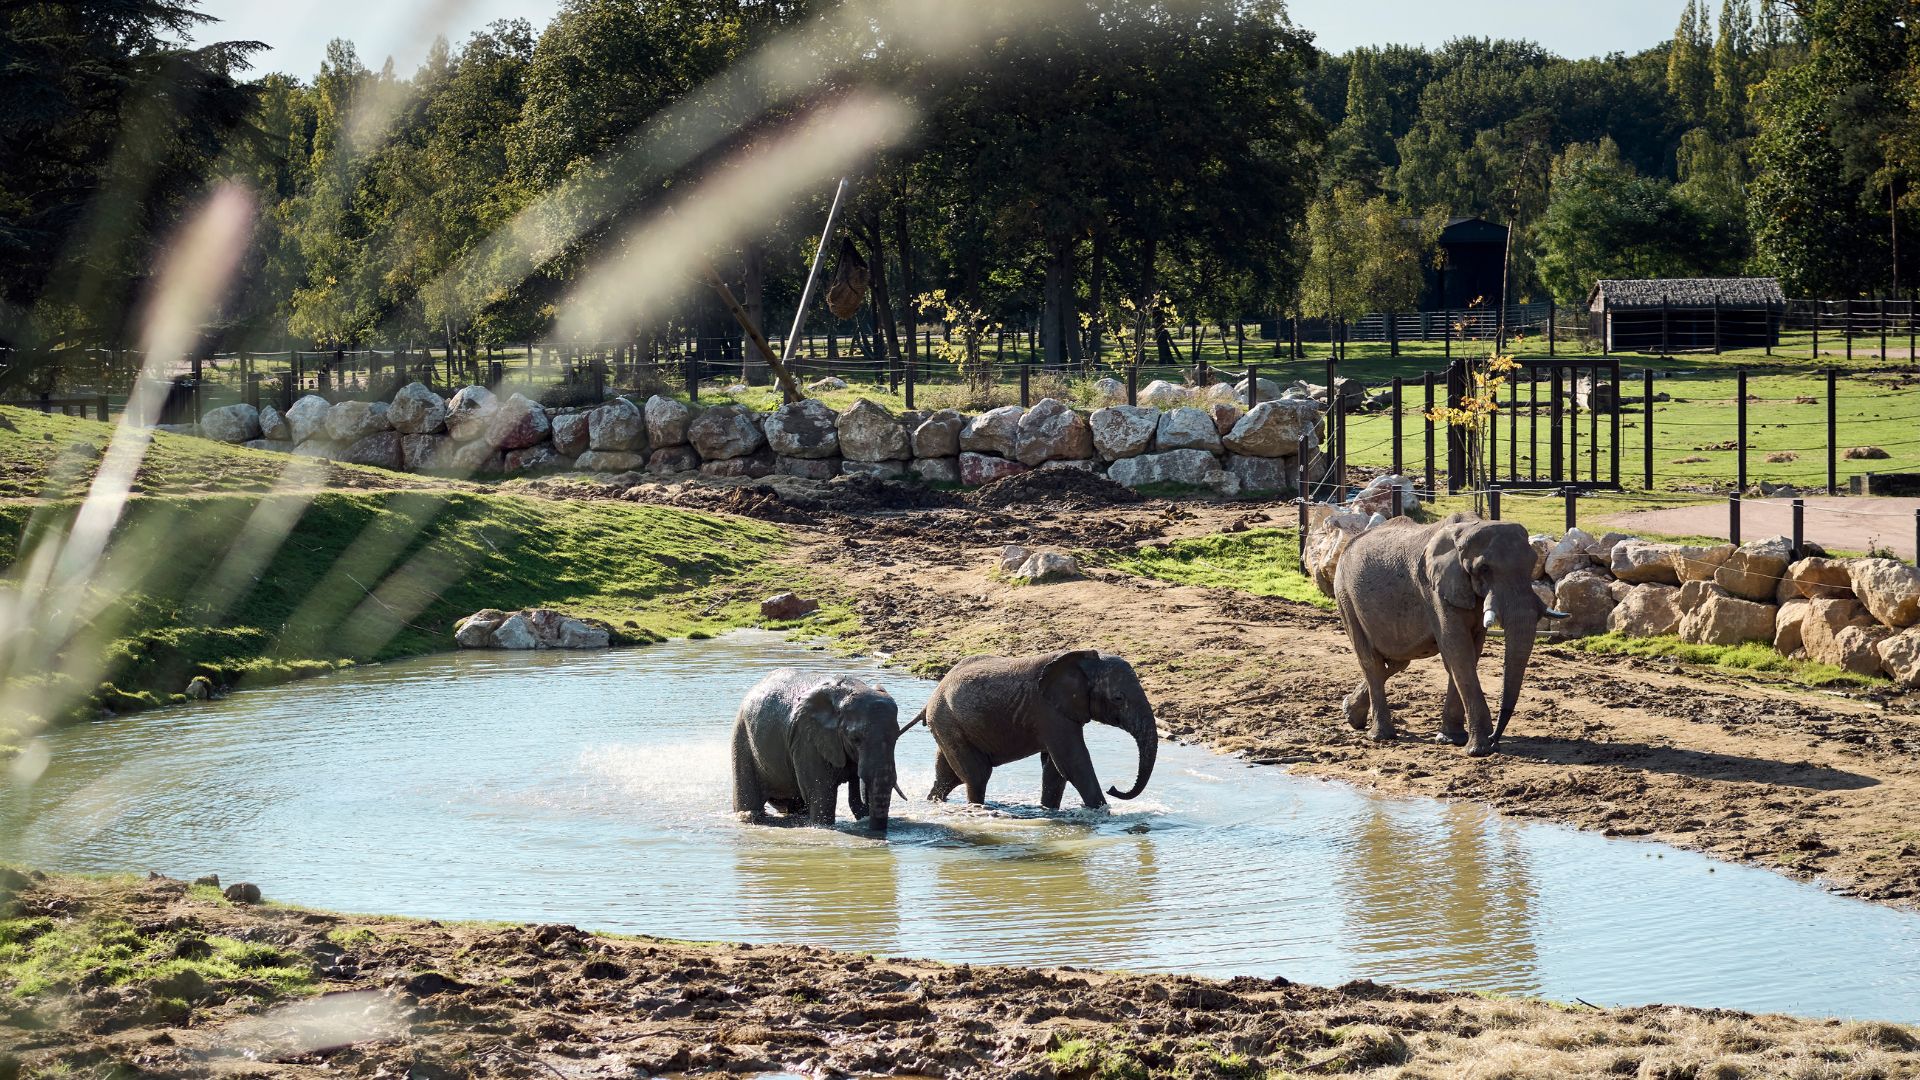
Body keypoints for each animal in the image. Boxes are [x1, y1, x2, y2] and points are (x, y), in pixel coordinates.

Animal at [732, 670, 899, 832]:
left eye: (897, 737)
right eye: (855, 738)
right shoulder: (807, 739)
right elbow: (822, 795)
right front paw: (822, 826)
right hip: (743, 737)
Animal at [906, 649, 1158, 811]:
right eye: (1118, 698)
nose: (1113, 788)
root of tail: (930, 700)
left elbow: (1055, 768)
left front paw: (1049, 811)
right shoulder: (1048, 711)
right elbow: (1073, 763)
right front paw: (1102, 813)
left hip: (949, 725)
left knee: (948, 777)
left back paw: (934, 803)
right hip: (948, 721)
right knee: (977, 775)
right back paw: (977, 809)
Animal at [1331, 514, 1567, 757]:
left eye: (1532, 563)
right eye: (1484, 568)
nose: (1495, 739)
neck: (1467, 529)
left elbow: (1468, 653)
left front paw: (1452, 739)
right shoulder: (1434, 590)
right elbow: (1458, 651)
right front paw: (1478, 749)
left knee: (1397, 661)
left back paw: (1351, 714)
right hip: (1345, 595)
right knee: (1371, 661)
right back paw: (1381, 736)